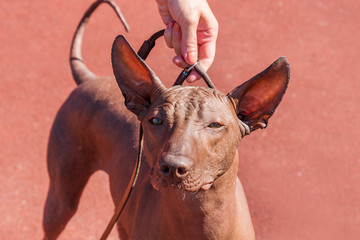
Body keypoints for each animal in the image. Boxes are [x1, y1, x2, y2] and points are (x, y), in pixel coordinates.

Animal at [42, 0, 290, 239]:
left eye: (215, 125)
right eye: (156, 121)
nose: (172, 167)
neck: (198, 214)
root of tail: (90, 79)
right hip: (61, 199)